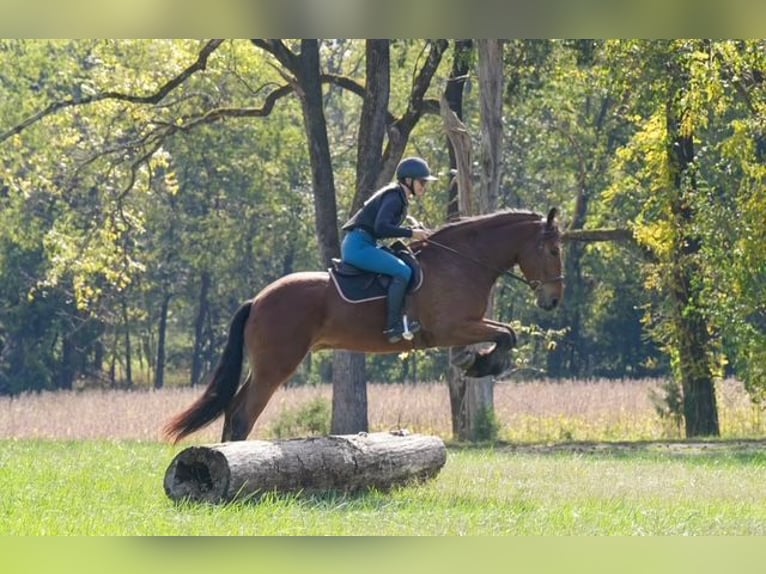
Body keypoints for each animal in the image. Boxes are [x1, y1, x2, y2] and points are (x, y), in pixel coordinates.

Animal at [163, 207, 564, 443]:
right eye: (554, 250)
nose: (554, 301)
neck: (464, 261)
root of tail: (257, 300)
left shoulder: (468, 324)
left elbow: (507, 332)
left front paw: (476, 362)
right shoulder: (453, 327)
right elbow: (506, 335)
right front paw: (481, 364)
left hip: (267, 365)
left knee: (234, 410)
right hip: (276, 365)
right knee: (243, 414)